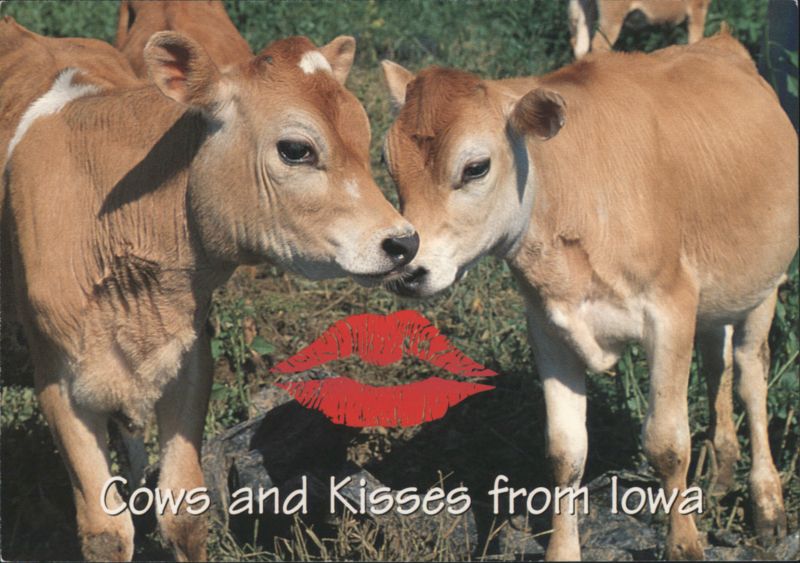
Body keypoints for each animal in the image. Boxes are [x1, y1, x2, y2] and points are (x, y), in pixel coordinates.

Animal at [2, 28, 419, 561]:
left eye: (366, 140)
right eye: (296, 149)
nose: (403, 242)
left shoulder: (190, 358)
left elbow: (184, 512)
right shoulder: (55, 381)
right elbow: (105, 533)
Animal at [380, 30, 796, 560]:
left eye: (475, 167)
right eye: (389, 165)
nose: (406, 267)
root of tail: (720, 43)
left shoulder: (670, 309)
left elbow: (666, 442)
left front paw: (683, 544)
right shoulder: (549, 327)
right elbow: (565, 452)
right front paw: (563, 550)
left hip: (765, 285)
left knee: (750, 379)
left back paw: (767, 504)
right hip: (718, 295)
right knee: (716, 364)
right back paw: (722, 469)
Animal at [568, 0, 711, 59]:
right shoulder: (697, 8)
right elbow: (696, 40)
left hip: (585, 11)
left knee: (580, 46)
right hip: (613, 15)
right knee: (598, 44)